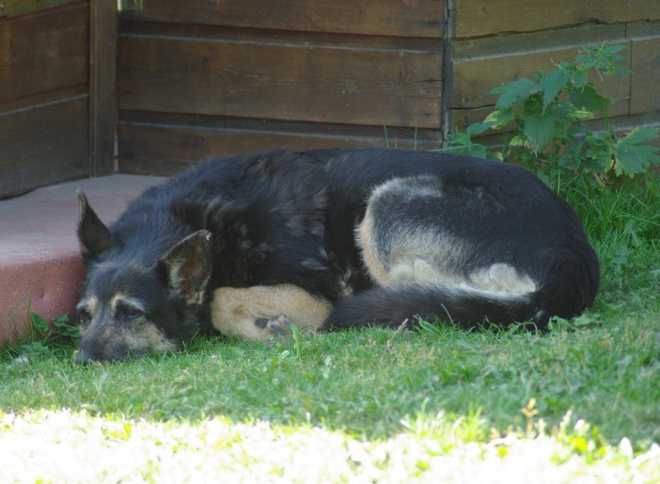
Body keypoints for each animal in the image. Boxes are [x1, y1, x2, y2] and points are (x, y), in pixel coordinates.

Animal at [73, 149, 600, 362]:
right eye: (84, 315)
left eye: (131, 313)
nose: (81, 360)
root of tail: (573, 252)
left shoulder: (319, 292)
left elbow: (222, 298)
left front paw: (272, 330)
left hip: (384, 206)